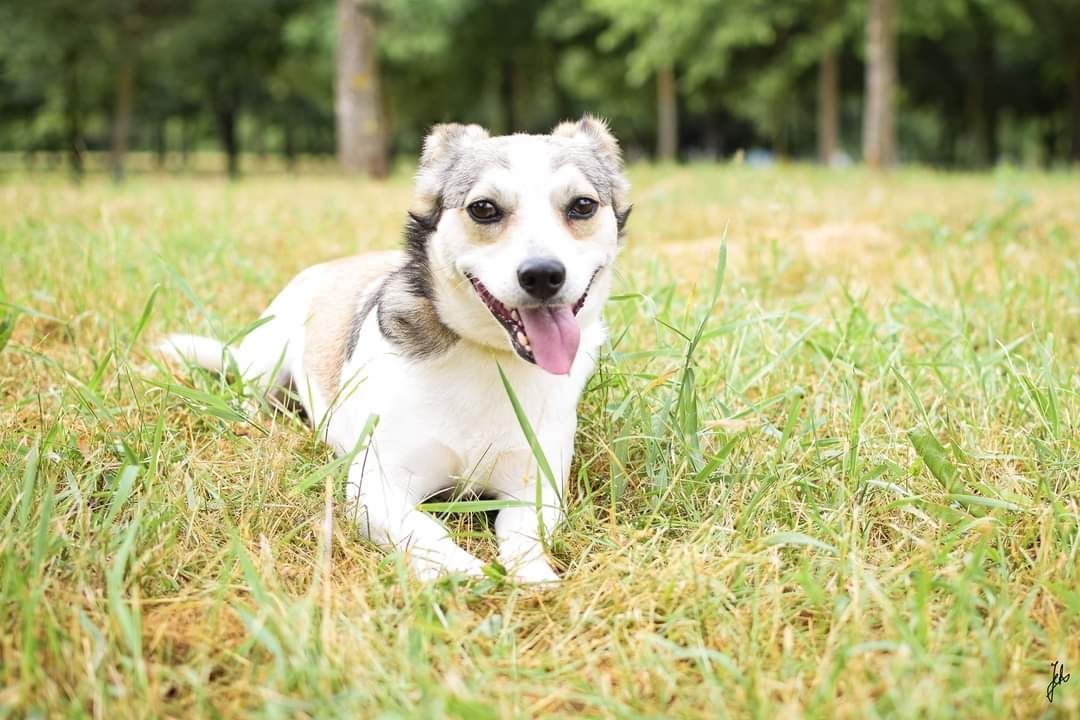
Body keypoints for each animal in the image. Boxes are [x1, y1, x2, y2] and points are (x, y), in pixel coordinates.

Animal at [160, 115, 630, 582]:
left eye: (582, 206)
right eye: (483, 208)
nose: (543, 275)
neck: (488, 355)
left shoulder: (536, 486)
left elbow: (523, 535)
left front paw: (533, 577)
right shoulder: (376, 488)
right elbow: (425, 530)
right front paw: (462, 572)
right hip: (267, 359)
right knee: (250, 399)